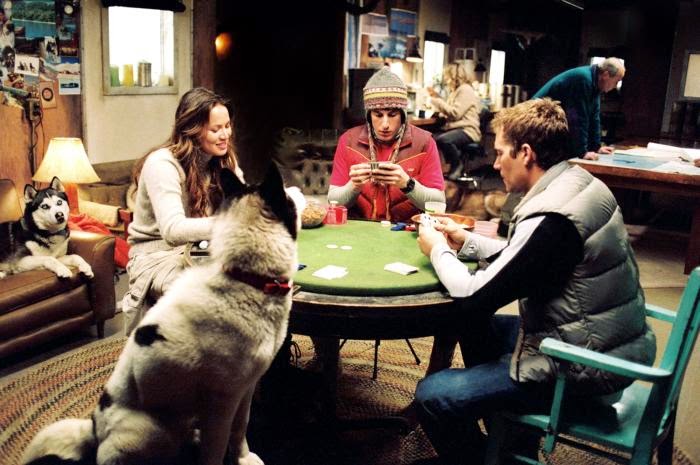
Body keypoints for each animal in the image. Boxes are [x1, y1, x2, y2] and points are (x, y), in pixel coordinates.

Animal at [21, 164, 306, 465]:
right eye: (289, 196)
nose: (300, 190)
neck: (246, 277)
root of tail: (94, 431)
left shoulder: (245, 389)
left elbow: (240, 429)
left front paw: (243, 457)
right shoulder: (221, 405)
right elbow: (215, 450)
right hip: (152, 430)